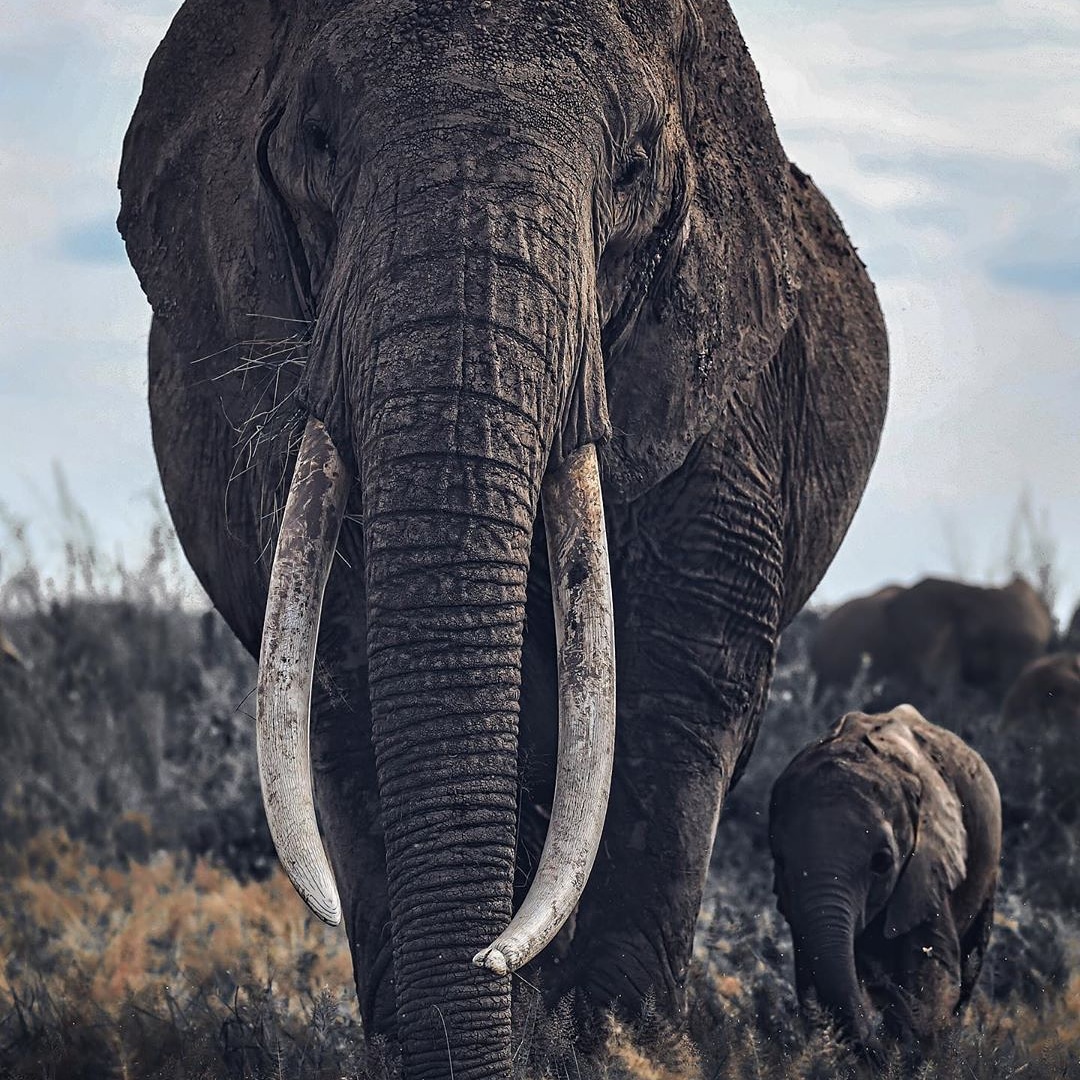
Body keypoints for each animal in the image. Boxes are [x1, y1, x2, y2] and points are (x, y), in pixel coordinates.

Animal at [118, 2, 888, 1075]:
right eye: (317, 143)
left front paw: (613, 1048)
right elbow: (348, 689)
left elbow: (674, 694)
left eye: (633, 169)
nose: (484, 959)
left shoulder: (720, 405)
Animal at [769, 705, 1001, 1057]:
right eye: (780, 861)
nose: (873, 1040)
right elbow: (809, 974)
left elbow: (932, 972)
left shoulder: (927, 869)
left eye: (881, 863)